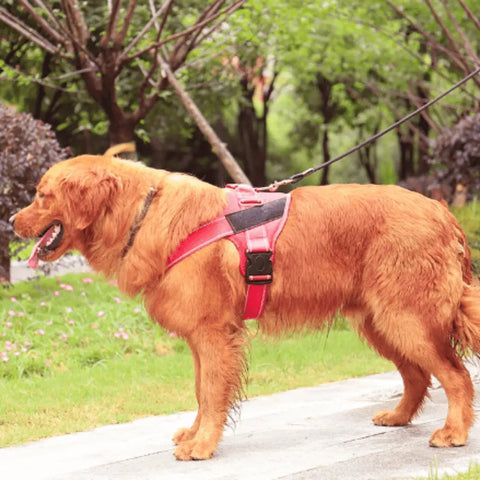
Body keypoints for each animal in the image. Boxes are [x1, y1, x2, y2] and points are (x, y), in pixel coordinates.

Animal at [11, 155, 480, 462]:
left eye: (41, 195)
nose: (12, 222)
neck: (141, 214)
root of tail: (440, 210)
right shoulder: (201, 338)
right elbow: (201, 391)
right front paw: (196, 434)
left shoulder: (214, 333)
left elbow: (212, 391)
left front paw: (202, 446)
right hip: (381, 322)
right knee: (418, 376)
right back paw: (399, 416)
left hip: (406, 319)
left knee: (456, 376)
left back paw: (454, 433)